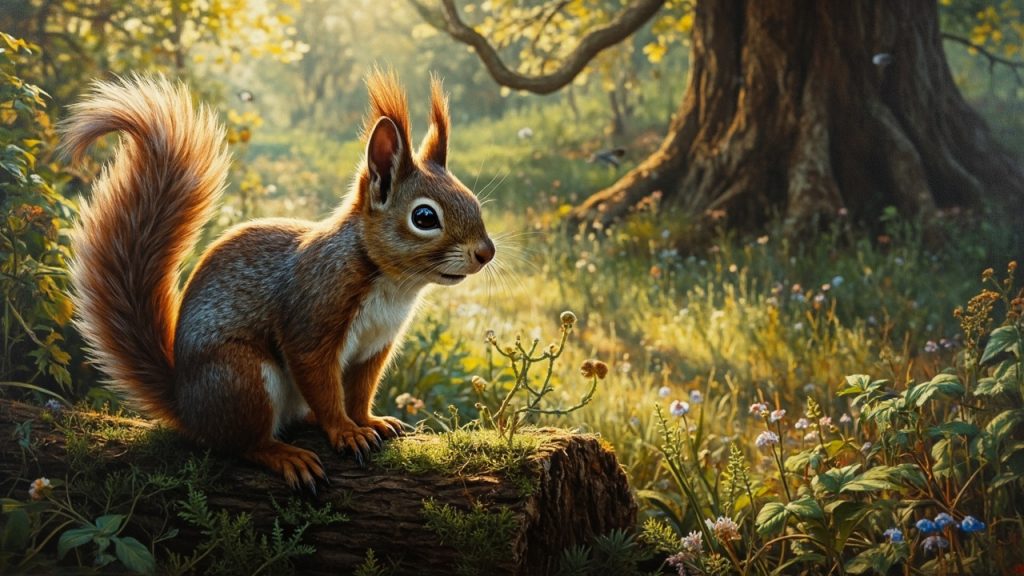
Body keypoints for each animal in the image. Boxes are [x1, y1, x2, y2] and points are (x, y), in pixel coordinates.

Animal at [62, 71, 495, 491]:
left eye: (473, 201)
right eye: (424, 217)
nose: (486, 252)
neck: (391, 284)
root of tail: (186, 406)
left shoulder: (376, 346)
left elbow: (359, 392)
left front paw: (369, 421)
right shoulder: (312, 316)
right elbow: (320, 381)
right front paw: (345, 431)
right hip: (242, 378)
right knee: (243, 442)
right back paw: (284, 455)